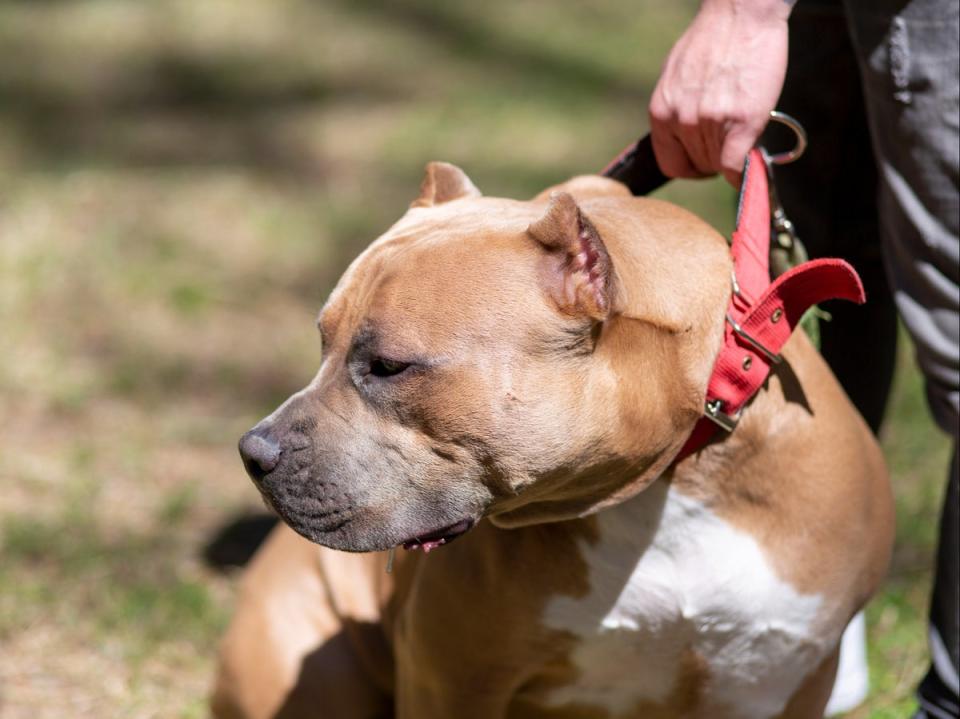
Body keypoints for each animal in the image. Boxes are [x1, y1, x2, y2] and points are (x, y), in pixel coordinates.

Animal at [210, 165, 892, 719]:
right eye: (322, 343)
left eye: (388, 366)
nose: (252, 453)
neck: (667, 489)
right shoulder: (451, 678)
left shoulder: (782, 680)